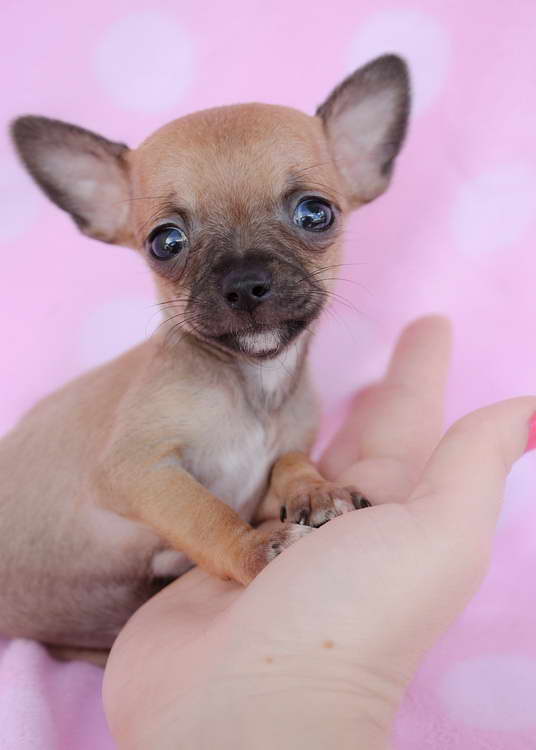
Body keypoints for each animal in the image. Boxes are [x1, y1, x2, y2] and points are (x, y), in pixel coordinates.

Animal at [1, 54, 410, 652]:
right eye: (165, 243)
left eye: (316, 214)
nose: (245, 283)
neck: (254, 383)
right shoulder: (140, 471)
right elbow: (205, 515)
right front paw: (255, 549)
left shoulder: (265, 472)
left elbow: (290, 462)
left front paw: (317, 491)